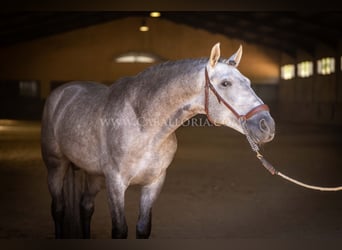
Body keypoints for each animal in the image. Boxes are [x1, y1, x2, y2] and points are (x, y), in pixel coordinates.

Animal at [40, 42, 276, 238]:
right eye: (226, 83)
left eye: (248, 82)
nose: (267, 125)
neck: (143, 127)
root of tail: (64, 90)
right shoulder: (115, 183)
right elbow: (120, 230)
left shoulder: (154, 183)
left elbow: (143, 228)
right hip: (55, 166)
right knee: (58, 209)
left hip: (93, 175)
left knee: (85, 207)